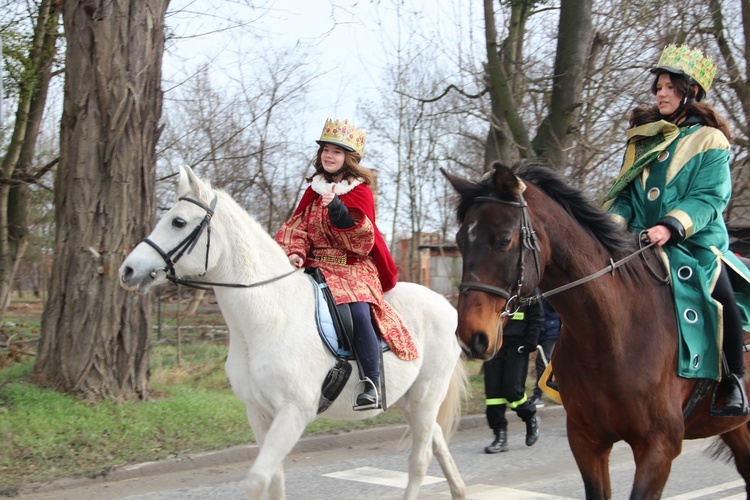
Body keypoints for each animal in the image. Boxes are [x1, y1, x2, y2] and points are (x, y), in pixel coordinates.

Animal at [117, 168, 470, 500]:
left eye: (178, 221)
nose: (127, 271)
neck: (267, 317)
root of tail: (448, 307)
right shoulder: (260, 413)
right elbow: (275, 482)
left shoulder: (293, 414)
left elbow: (257, 480)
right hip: (411, 400)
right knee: (437, 443)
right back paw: (460, 490)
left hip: (426, 394)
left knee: (420, 460)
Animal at [444, 161, 750, 500]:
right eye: (460, 241)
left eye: (503, 239)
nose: (472, 336)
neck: (612, 337)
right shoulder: (587, 442)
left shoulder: (658, 448)